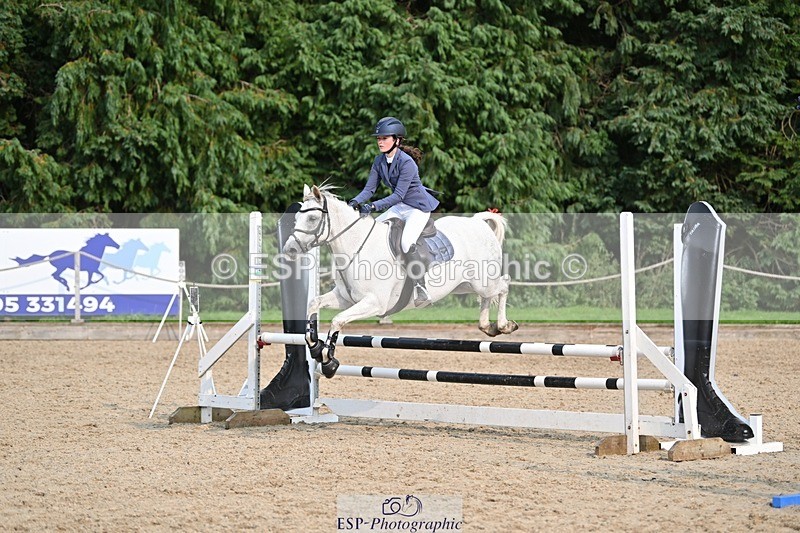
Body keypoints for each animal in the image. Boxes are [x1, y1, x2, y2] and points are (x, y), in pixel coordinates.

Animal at [281, 184, 518, 378]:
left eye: (312, 219)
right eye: (296, 219)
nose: (289, 250)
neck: (357, 247)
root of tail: (478, 223)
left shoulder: (374, 303)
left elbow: (337, 320)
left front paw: (328, 361)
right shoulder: (345, 298)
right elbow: (314, 304)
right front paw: (314, 346)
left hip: (484, 281)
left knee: (504, 284)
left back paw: (504, 325)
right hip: (465, 286)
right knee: (487, 297)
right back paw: (488, 327)